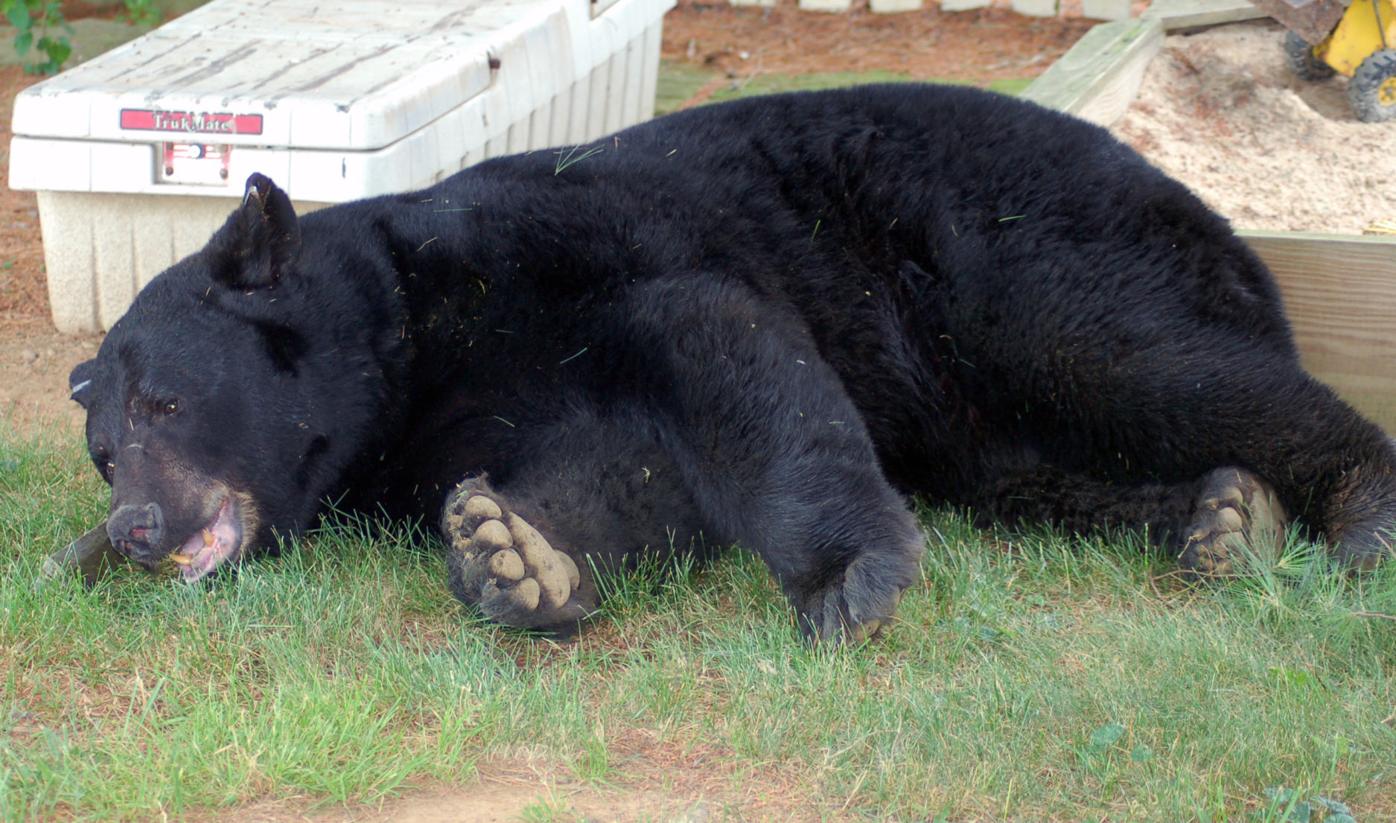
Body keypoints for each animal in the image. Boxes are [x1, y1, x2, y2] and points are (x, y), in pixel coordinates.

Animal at [66, 84, 1396, 642]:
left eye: (170, 399)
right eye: (102, 449)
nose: (133, 527)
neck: (405, 345)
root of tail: (1221, 223)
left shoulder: (564, 251)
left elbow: (720, 343)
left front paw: (849, 575)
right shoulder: (463, 413)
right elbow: (616, 474)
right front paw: (515, 558)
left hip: (1013, 259)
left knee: (1131, 359)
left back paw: (1356, 505)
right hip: (981, 413)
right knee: (1032, 470)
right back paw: (1218, 518)